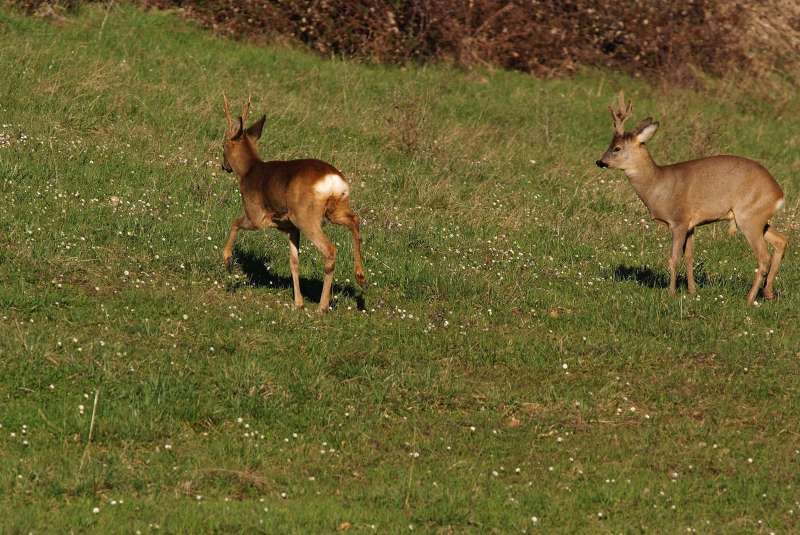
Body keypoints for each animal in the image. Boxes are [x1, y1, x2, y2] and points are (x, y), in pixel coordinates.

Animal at [220, 95, 368, 314]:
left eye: (223, 145)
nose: (224, 166)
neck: (249, 171)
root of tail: (333, 182)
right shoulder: (292, 228)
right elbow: (294, 261)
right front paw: (298, 302)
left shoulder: (257, 216)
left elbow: (235, 222)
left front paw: (227, 260)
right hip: (335, 210)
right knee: (355, 221)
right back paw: (360, 277)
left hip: (306, 217)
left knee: (330, 249)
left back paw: (323, 306)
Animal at [592, 92, 788, 306]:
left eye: (617, 148)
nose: (600, 161)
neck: (658, 185)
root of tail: (779, 194)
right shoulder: (691, 225)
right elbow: (689, 257)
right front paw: (692, 291)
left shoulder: (679, 220)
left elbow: (673, 258)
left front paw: (671, 292)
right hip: (757, 218)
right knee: (782, 240)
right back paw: (768, 292)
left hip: (749, 217)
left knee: (763, 257)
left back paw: (749, 298)